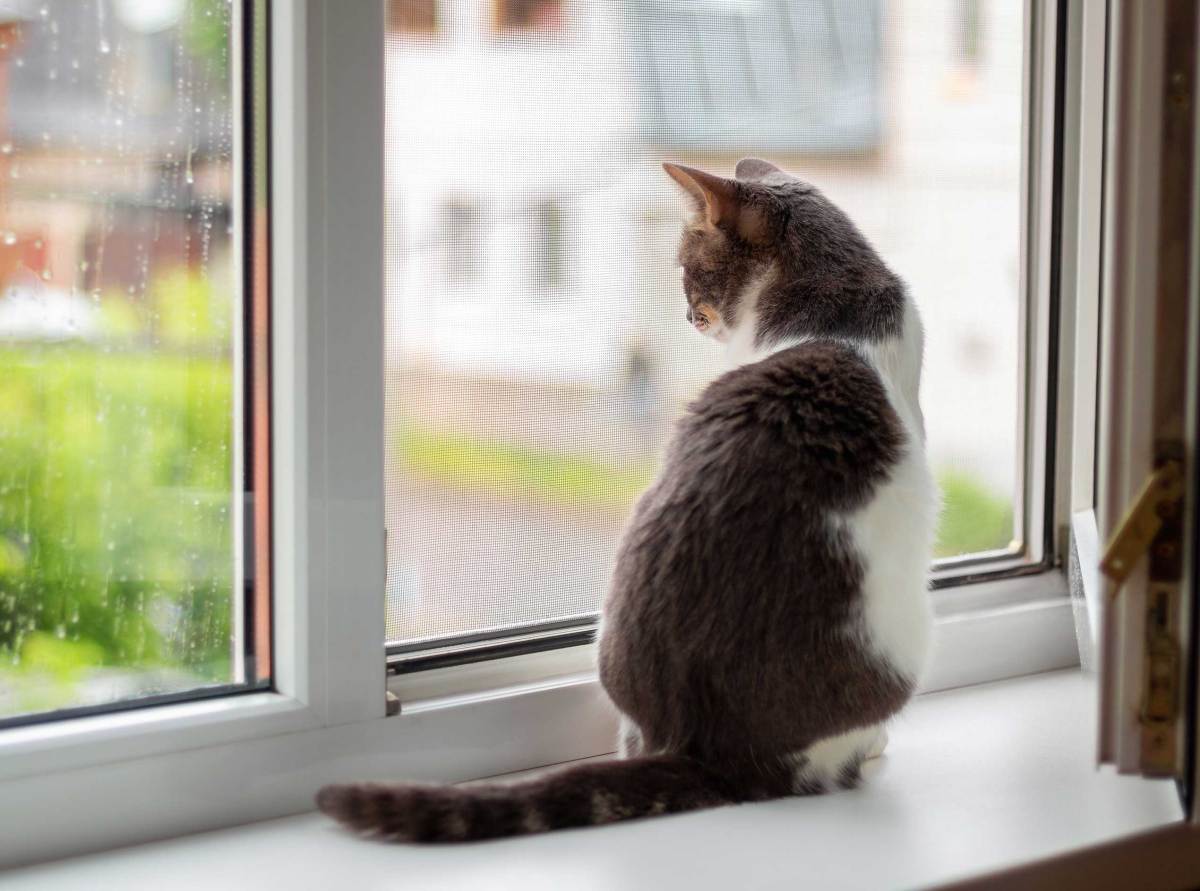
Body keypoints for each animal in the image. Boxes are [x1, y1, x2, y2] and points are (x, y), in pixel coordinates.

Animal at [316, 158, 936, 845]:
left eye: (688, 267)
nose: (688, 316)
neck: (836, 295)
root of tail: (714, 753)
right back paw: (871, 746)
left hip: (616, 625)